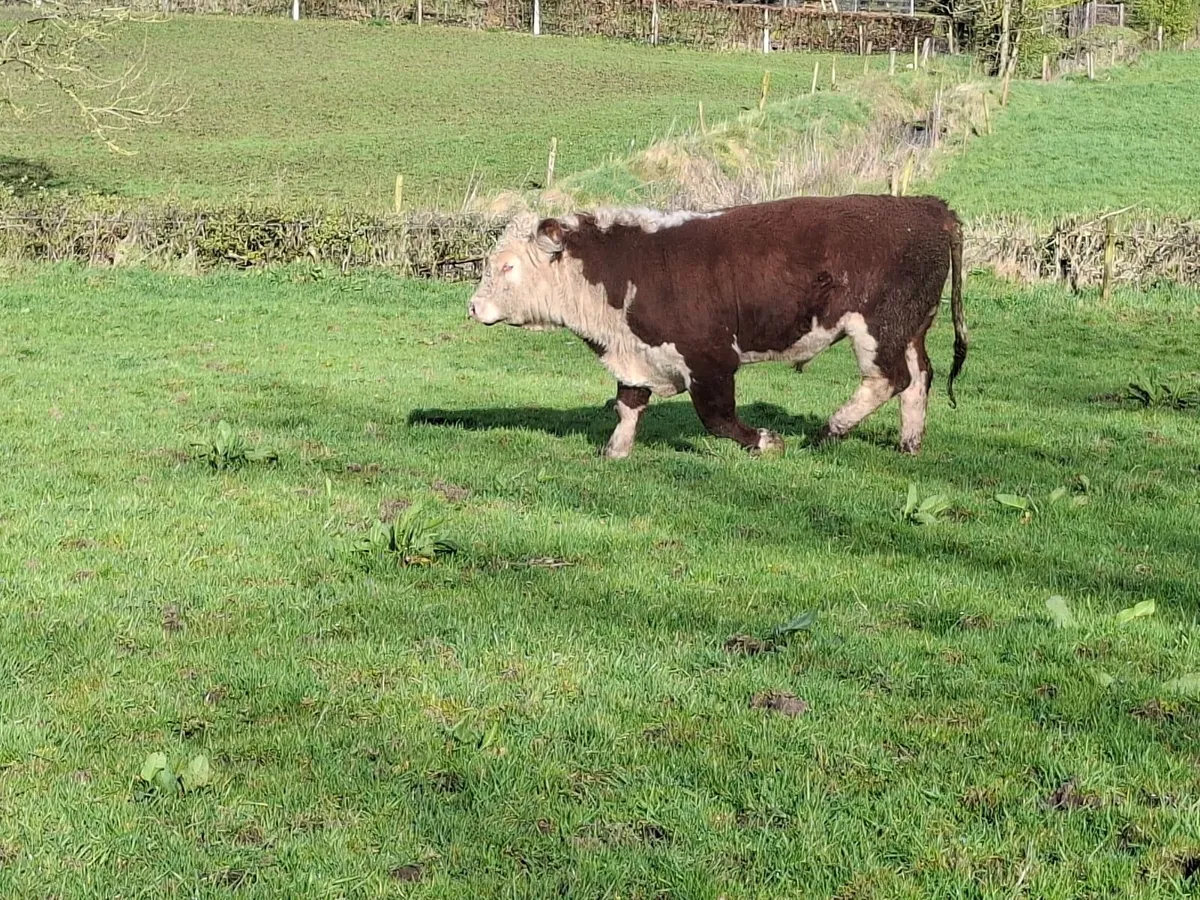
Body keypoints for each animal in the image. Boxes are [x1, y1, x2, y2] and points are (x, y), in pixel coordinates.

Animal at [467, 194, 967, 459]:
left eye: (508, 266)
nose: (472, 306)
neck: (624, 268)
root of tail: (924, 206)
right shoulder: (638, 355)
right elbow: (628, 404)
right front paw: (615, 451)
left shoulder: (710, 358)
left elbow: (716, 417)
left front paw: (764, 441)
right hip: (910, 326)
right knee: (918, 378)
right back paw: (908, 443)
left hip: (879, 326)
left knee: (888, 379)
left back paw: (830, 429)